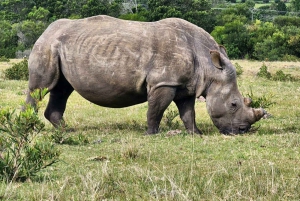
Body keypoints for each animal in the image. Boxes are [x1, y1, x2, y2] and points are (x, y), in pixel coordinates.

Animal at [25, 14, 264, 134]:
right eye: (233, 104)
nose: (243, 130)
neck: (208, 66)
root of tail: (46, 30)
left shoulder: (185, 85)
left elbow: (188, 112)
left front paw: (195, 133)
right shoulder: (163, 82)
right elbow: (156, 109)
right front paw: (152, 133)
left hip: (62, 47)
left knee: (61, 89)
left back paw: (67, 131)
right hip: (47, 46)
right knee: (41, 88)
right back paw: (28, 126)